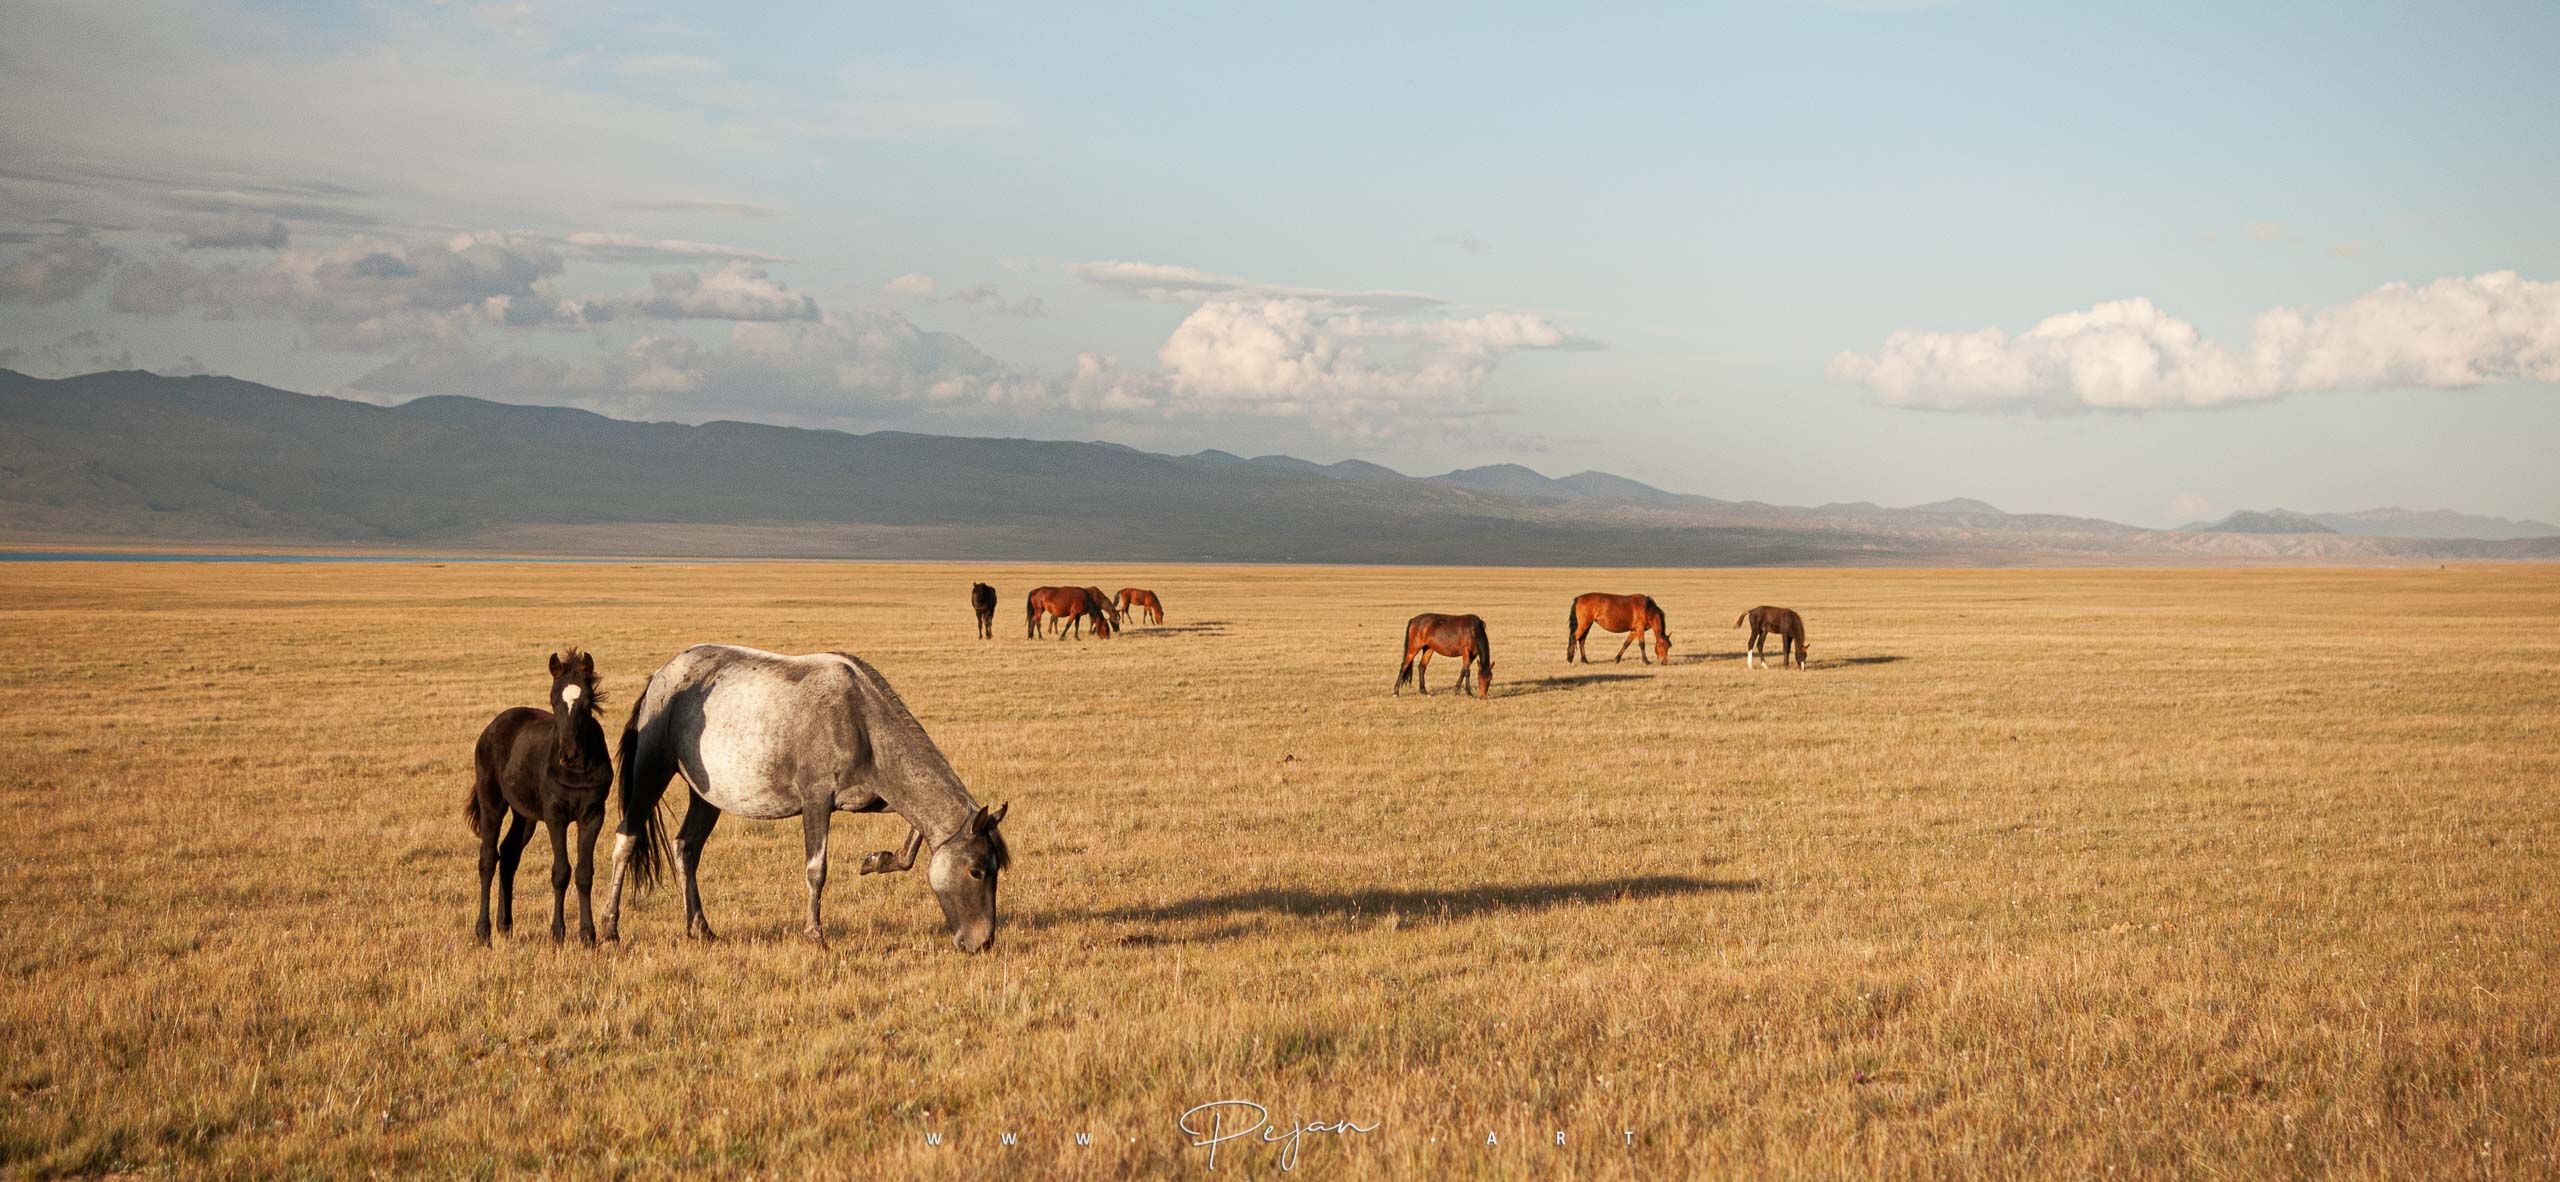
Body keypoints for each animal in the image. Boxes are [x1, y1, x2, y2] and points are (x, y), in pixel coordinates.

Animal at [468, 649, 611, 946]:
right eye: (553, 700)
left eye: (586, 702)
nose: (568, 755)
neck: (577, 770)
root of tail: (494, 725)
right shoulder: (555, 815)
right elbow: (561, 871)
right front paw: (557, 934)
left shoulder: (593, 815)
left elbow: (584, 872)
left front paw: (588, 935)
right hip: (492, 803)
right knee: (488, 858)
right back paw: (484, 932)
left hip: (525, 816)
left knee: (509, 854)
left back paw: (505, 925)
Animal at [599, 647, 1008, 951]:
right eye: (977, 871)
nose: (984, 942)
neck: (861, 721)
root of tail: (660, 676)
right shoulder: (816, 801)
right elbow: (817, 870)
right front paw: (815, 935)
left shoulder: (885, 797)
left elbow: (912, 844)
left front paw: (877, 861)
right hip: (651, 773)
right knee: (626, 840)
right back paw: (608, 928)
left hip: (708, 796)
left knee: (686, 848)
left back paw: (699, 928)